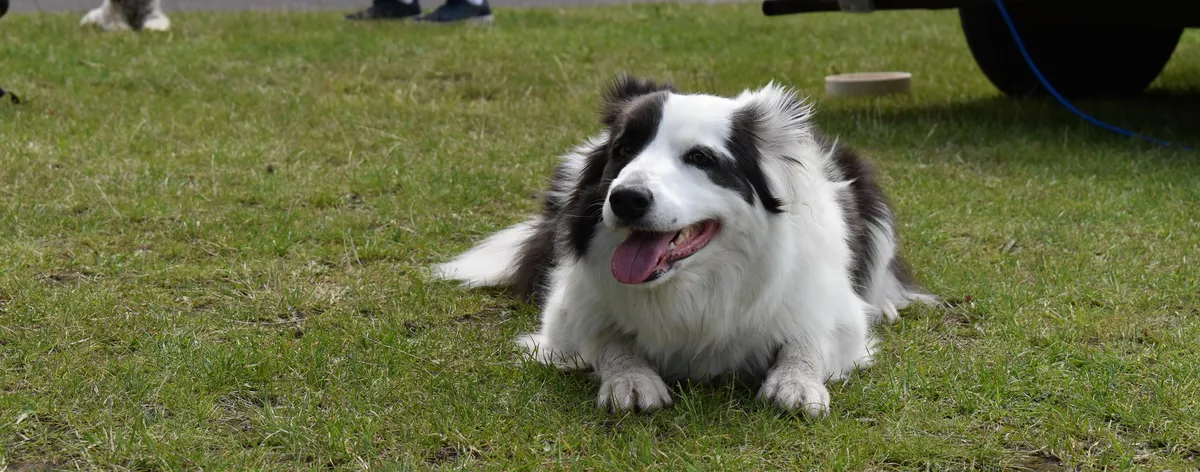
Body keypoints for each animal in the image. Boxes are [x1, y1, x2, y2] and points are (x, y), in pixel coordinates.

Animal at [432, 74, 936, 415]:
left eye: (700, 158)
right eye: (622, 150)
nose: (626, 198)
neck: (695, 282)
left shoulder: (832, 311)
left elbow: (807, 340)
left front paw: (797, 382)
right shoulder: (563, 319)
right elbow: (609, 338)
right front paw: (631, 378)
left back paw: (885, 302)